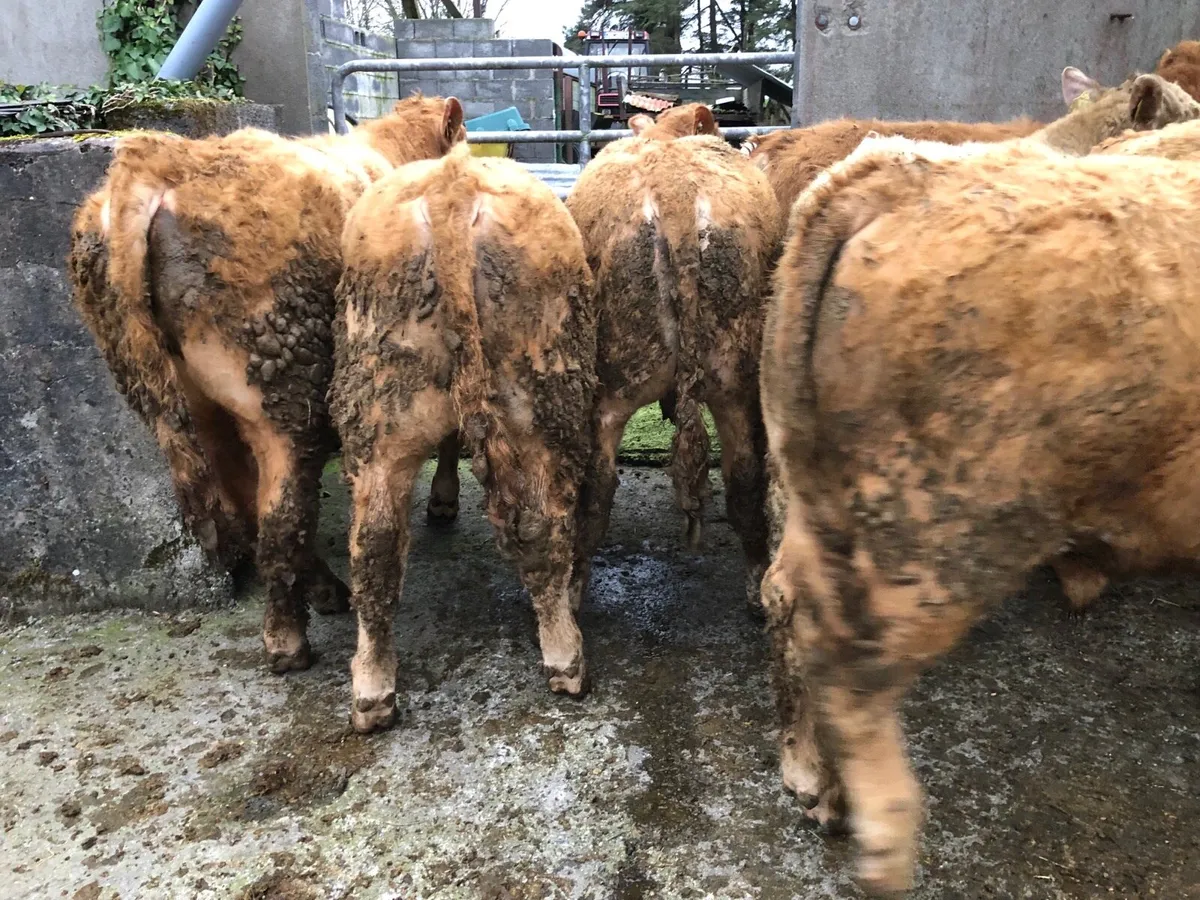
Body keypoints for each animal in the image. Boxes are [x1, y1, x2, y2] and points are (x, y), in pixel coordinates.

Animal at [68, 95, 466, 676]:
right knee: (280, 515)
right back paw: (288, 639)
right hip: (284, 392)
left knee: (251, 507)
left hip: (194, 403)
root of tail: (159, 160)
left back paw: (321, 593)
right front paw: (443, 501)